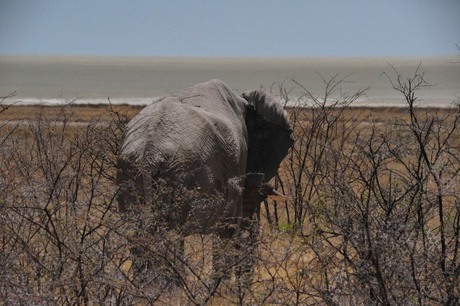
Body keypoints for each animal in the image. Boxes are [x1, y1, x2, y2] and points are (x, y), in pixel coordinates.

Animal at [117, 79, 292, 284]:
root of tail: (149, 152)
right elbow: (227, 230)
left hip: (130, 172)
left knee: (137, 235)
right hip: (181, 176)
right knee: (172, 234)